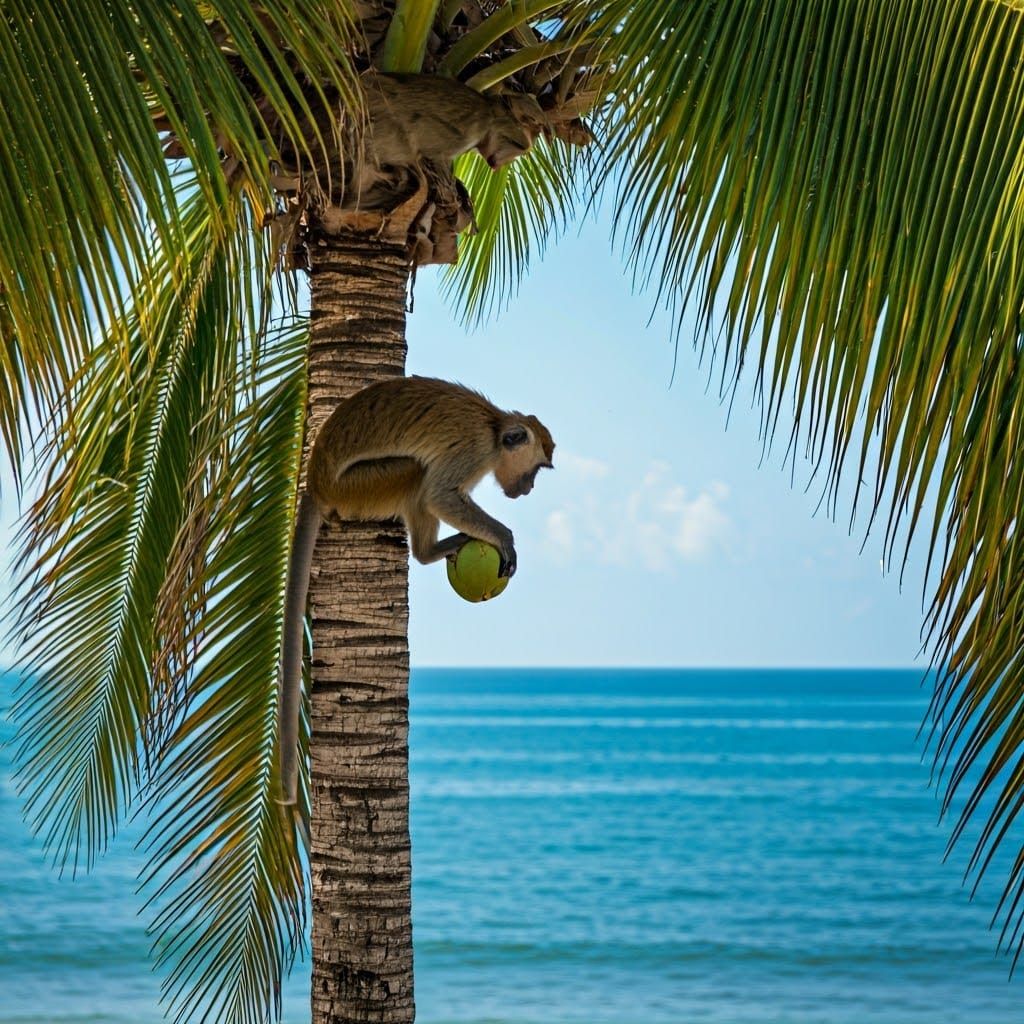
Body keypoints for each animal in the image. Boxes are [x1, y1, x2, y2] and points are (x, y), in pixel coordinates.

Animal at [278, 376, 555, 803]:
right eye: (537, 469)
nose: (528, 489)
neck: (493, 426)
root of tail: (318, 484)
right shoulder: (474, 449)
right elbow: (440, 495)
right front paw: (504, 537)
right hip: (358, 488)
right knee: (416, 473)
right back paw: (429, 552)